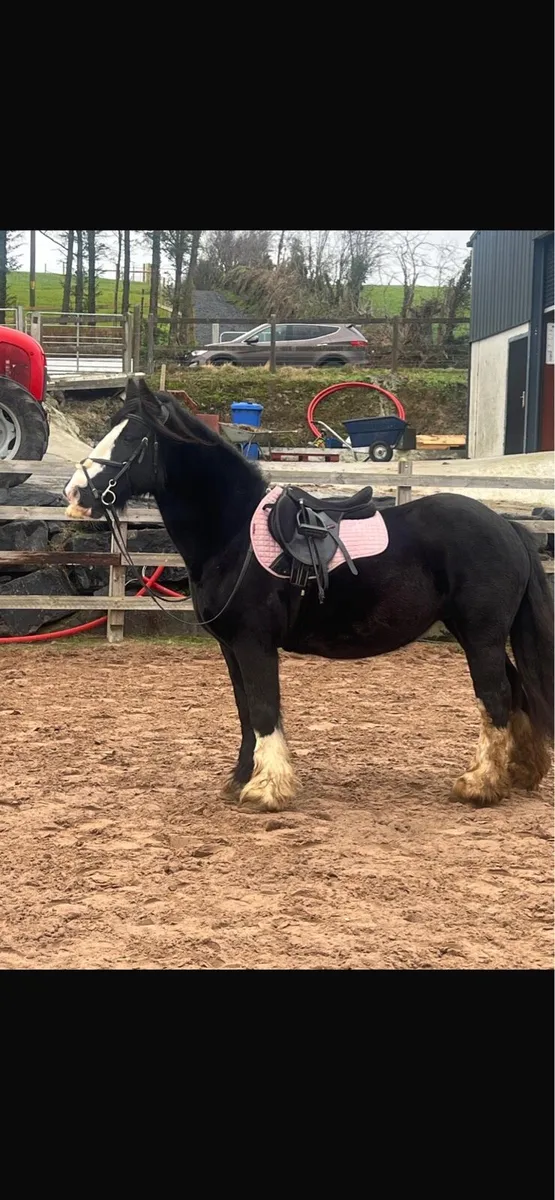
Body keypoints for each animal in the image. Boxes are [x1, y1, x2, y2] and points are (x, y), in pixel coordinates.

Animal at [64, 377, 553, 814]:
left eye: (132, 437)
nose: (76, 492)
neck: (233, 536)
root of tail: (507, 526)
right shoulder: (231, 648)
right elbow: (246, 709)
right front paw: (242, 778)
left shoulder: (254, 643)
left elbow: (264, 708)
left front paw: (267, 790)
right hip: (477, 634)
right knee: (515, 690)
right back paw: (517, 773)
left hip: (481, 635)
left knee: (495, 696)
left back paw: (480, 785)